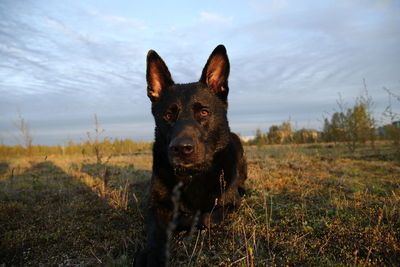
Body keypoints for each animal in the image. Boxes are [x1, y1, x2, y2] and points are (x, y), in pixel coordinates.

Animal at [136, 45, 245, 266]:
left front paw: (183, 220)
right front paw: (151, 254)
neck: (192, 176)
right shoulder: (154, 206)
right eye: (168, 115)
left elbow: (205, 217)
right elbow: (155, 231)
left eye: (203, 113)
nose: (181, 148)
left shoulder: (229, 205)